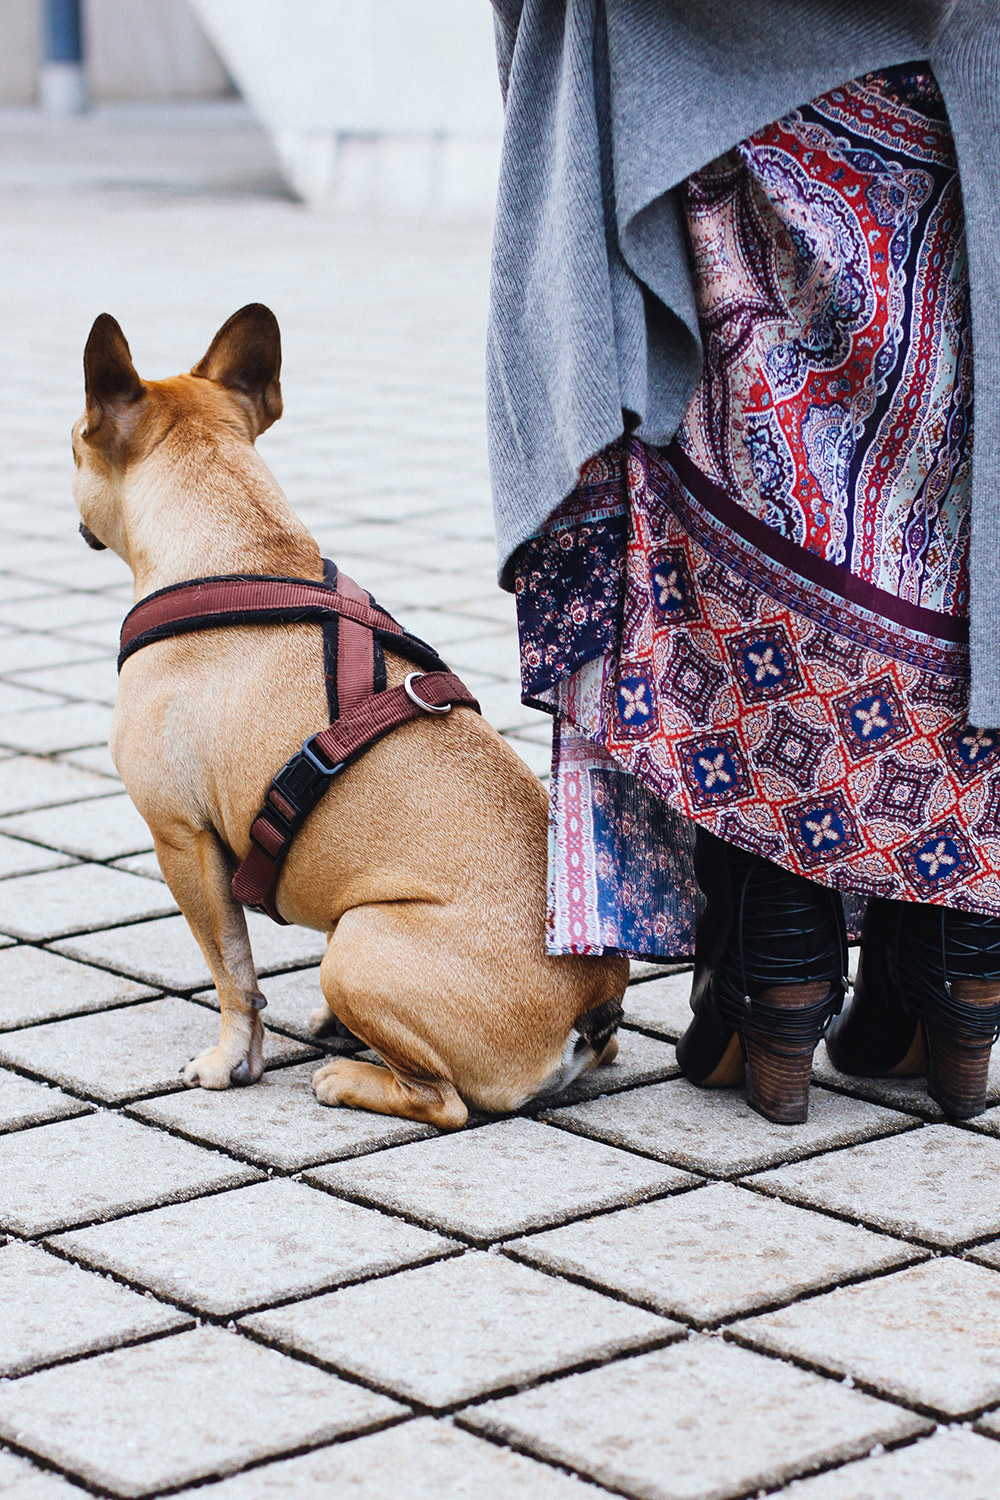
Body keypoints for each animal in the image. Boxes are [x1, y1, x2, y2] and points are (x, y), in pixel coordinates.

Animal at [72, 304, 626, 1128]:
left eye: (74, 440)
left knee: (444, 1101)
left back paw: (347, 1078)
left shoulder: (181, 839)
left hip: (360, 944)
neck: (243, 547)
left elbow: (233, 971)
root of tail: (590, 1002)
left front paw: (230, 1063)